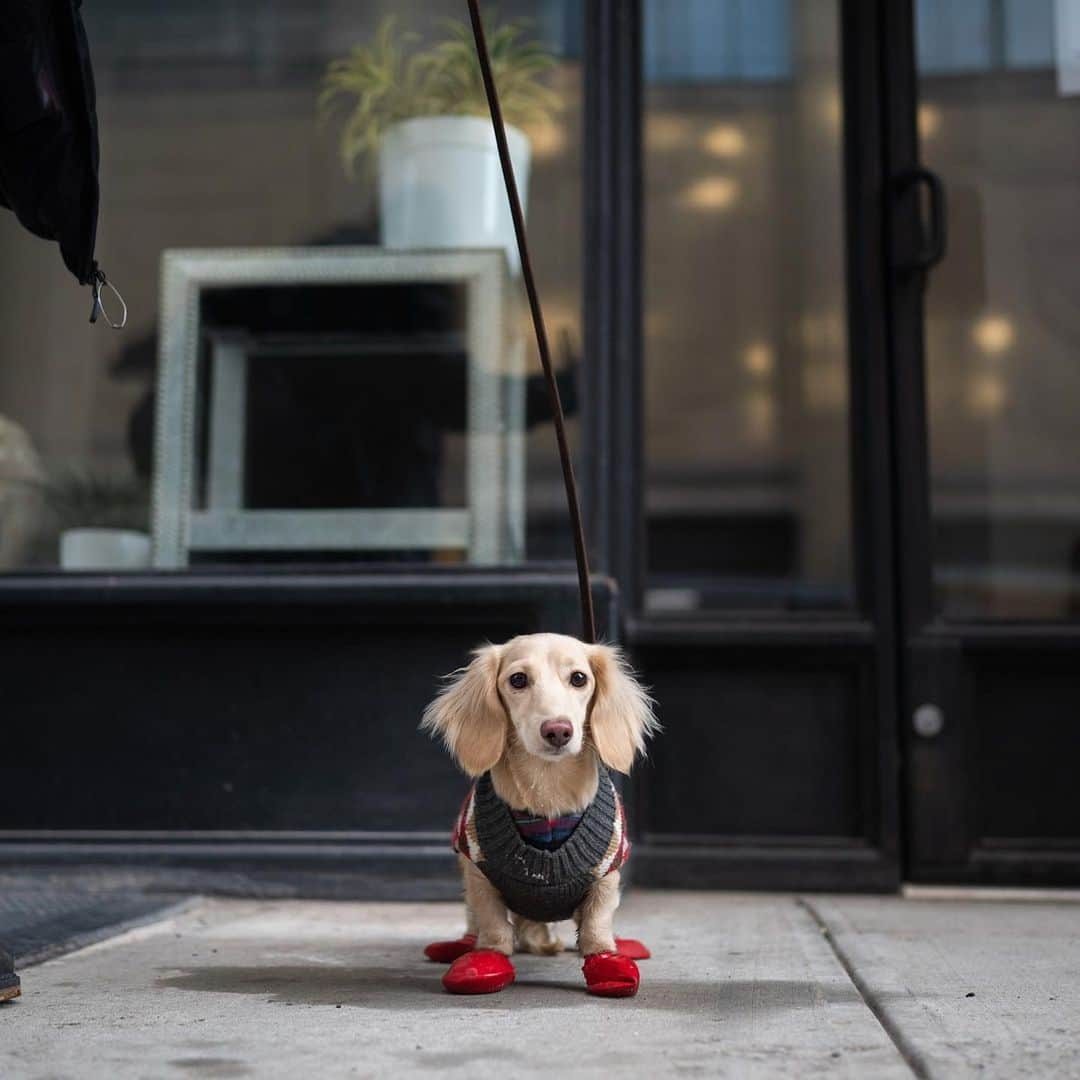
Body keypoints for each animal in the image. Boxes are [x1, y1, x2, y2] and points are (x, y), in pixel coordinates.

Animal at [421, 630, 656, 993]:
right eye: (518, 679)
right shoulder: (478, 872)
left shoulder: (606, 874)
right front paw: (485, 960)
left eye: (579, 678)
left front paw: (607, 961)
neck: (547, 798)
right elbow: (492, 926)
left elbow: (596, 925)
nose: (558, 730)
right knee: (475, 924)